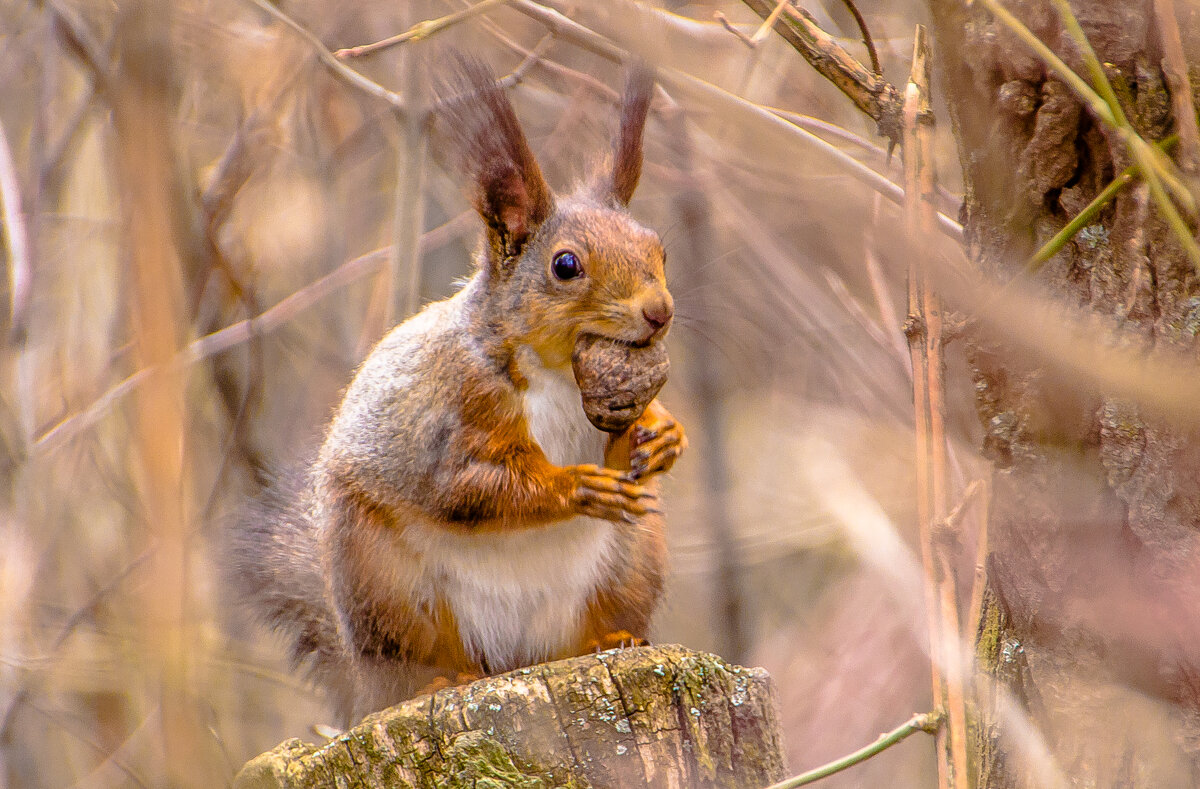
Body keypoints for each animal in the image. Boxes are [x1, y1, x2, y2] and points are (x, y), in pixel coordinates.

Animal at [230, 56, 691, 724]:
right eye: (566, 266)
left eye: (659, 250)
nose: (660, 312)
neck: (557, 372)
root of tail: (514, 661)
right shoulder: (455, 412)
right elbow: (470, 487)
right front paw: (573, 485)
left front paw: (664, 435)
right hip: (388, 586)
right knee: (417, 654)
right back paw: (438, 680)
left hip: (631, 559)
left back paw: (614, 639)